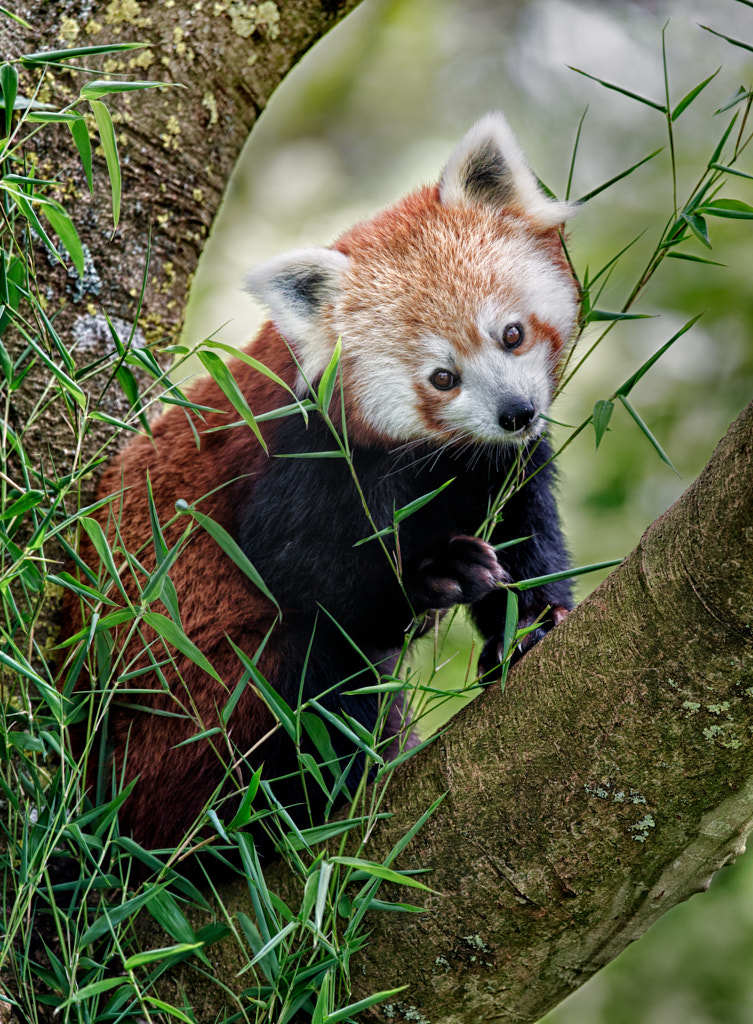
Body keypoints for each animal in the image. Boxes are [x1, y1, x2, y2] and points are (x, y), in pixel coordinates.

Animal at [61, 114, 581, 864]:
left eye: (511, 334)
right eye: (442, 377)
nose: (515, 411)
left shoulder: (498, 465)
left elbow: (524, 535)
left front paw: (530, 627)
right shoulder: (306, 455)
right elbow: (297, 569)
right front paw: (433, 576)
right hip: (185, 731)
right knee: (310, 669)